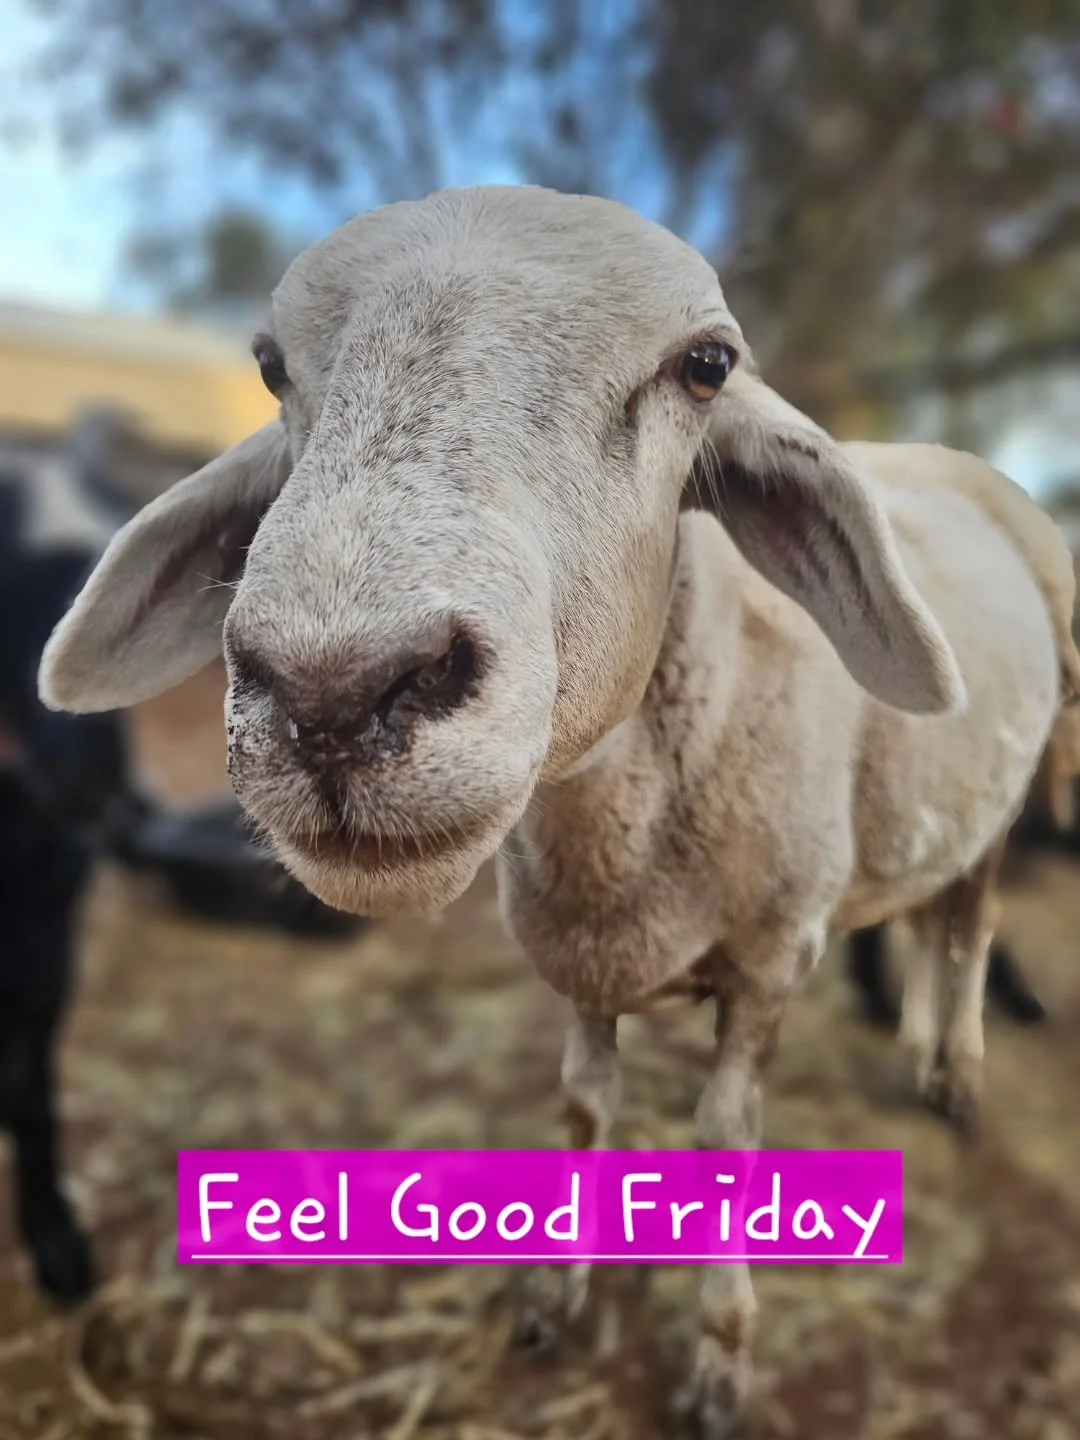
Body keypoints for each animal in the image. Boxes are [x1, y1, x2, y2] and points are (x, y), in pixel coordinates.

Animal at [35, 185, 1080, 1436]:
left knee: (966, 928)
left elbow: (726, 1142)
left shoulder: (772, 955)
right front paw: (553, 1292)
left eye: (707, 365)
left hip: (1005, 802)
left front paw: (719, 1357)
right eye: (272, 363)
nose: (331, 694)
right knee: (923, 917)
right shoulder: (581, 958)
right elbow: (583, 1110)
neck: (625, 829)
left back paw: (957, 1077)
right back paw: (919, 1042)